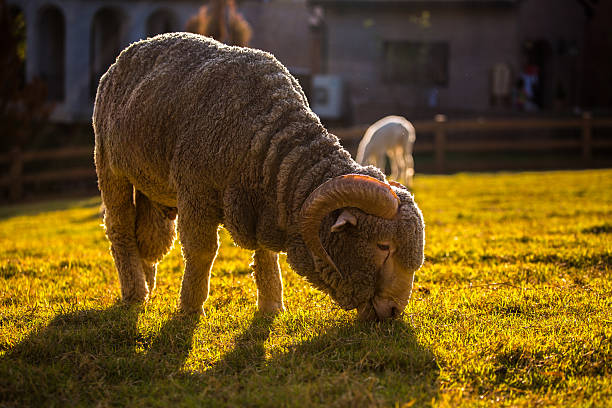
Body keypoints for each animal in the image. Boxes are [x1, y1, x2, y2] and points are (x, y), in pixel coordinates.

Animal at [93, 33, 424, 320]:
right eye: (383, 246)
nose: (394, 311)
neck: (264, 136)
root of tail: (132, 49)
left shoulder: (266, 203)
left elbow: (266, 255)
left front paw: (271, 305)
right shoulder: (196, 190)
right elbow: (202, 251)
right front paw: (190, 309)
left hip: (153, 186)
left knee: (151, 236)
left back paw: (146, 283)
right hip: (110, 164)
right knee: (120, 227)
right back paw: (134, 291)